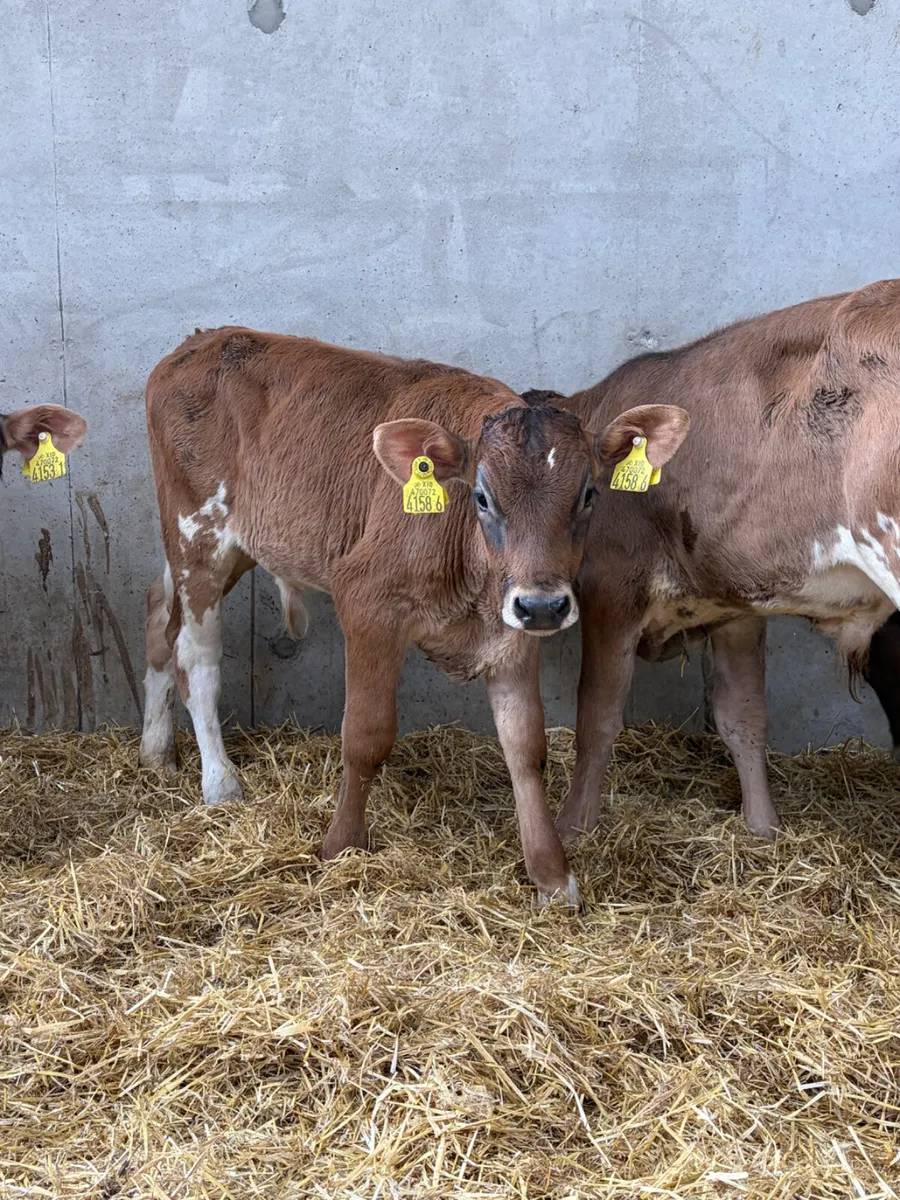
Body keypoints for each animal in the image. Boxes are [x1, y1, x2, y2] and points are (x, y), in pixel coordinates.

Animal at [137, 327, 689, 906]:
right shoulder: (367, 601)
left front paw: (552, 876)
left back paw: (155, 751)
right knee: (194, 655)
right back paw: (219, 783)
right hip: (197, 535)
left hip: (230, 545)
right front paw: (340, 846)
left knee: (158, 612)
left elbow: (526, 746)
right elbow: (366, 734)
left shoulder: (511, 630)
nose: (543, 605)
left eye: (588, 494)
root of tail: (202, 340)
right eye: (482, 497)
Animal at [523, 279, 900, 843]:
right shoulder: (734, 601)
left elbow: (598, 713)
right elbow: (743, 716)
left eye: (585, 492)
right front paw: (764, 829)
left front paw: (573, 828)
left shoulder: (612, 582)